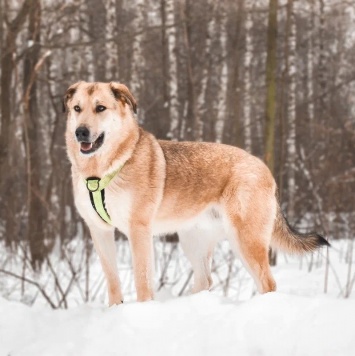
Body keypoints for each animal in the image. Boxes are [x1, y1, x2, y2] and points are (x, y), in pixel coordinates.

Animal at [64, 81, 330, 306]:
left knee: (268, 283)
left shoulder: (138, 230)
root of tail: (263, 168)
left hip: (245, 240)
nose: (81, 132)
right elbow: (113, 281)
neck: (101, 172)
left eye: (100, 108)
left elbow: (142, 281)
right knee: (205, 281)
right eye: (77, 108)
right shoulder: (99, 231)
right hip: (193, 240)